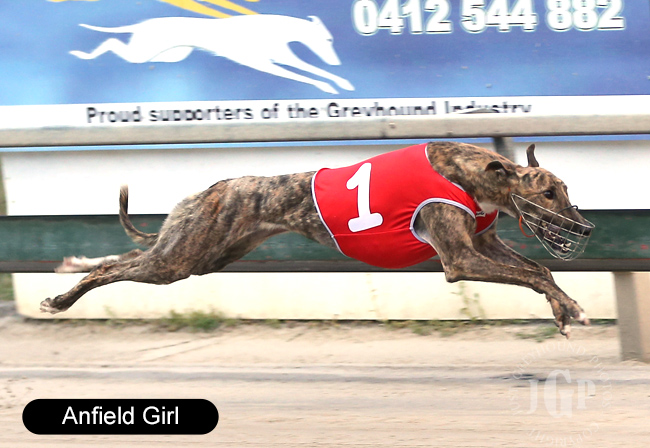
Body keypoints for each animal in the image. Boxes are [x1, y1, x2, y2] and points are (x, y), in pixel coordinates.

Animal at [41, 141, 593, 338]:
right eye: (548, 191)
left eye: (566, 189)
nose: (585, 227)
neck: (469, 172)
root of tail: (211, 189)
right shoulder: (460, 259)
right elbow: (531, 273)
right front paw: (570, 309)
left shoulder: (484, 244)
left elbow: (539, 269)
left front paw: (564, 310)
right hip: (183, 257)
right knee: (116, 267)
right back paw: (61, 297)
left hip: (202, 254)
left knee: (130, 255)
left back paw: (69, 267)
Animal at [70, 15, 354, 94]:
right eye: (328, 39)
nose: (337, 61)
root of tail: (144, 24)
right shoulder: (267, 64)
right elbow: (307, 76)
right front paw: (328, 86)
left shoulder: (283, 59)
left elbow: (313, 71)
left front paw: (341, 83)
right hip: (142, 53)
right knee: (111, 41)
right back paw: (82, 54)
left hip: (171, 55)